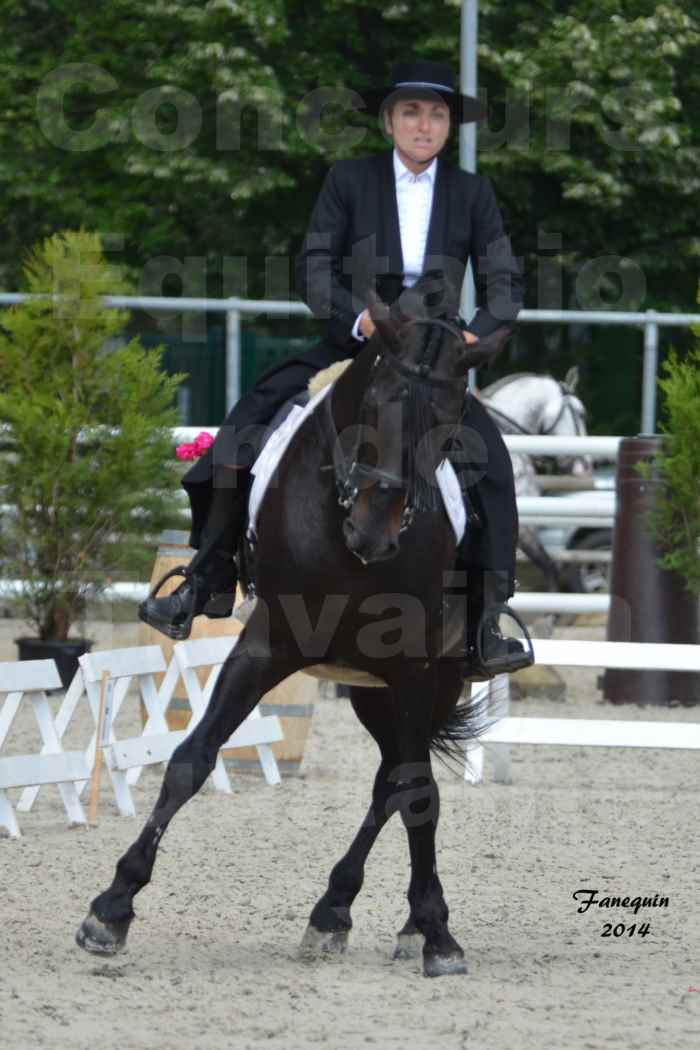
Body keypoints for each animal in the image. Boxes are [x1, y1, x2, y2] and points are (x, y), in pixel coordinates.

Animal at [75, 294, 514, 974]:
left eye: (449, 418)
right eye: (373, 401)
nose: (373, 531)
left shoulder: (414, 668)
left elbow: (419, 792)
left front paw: (439, 935)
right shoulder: (266, 645)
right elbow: (190, 760)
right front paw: (112, 908)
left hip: (426, 683)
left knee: (397, 781)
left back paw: (364, 915)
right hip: (368, 690)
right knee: (389, 777)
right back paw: (336, 913)